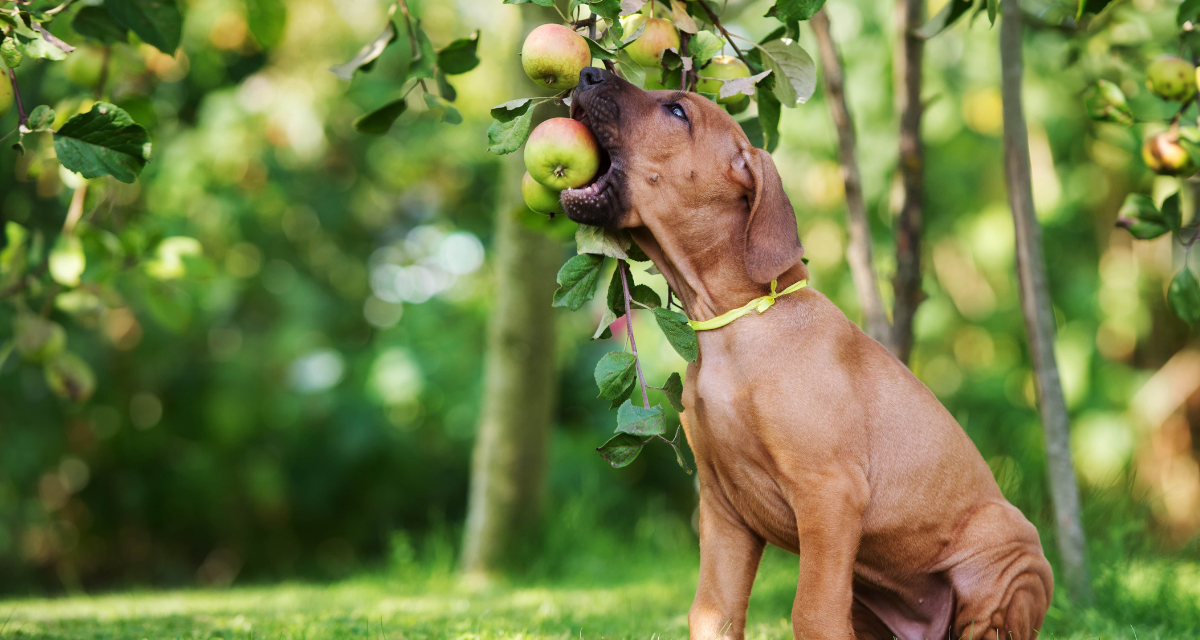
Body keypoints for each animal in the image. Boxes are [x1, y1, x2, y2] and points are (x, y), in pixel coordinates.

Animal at [561, 69, 1051, 638]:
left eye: (678, 111)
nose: (587, 73)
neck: (737, 324)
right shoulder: (724, 508)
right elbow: (712, 612)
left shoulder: (829, 493)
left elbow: (812, 612)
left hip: (1005, 561)